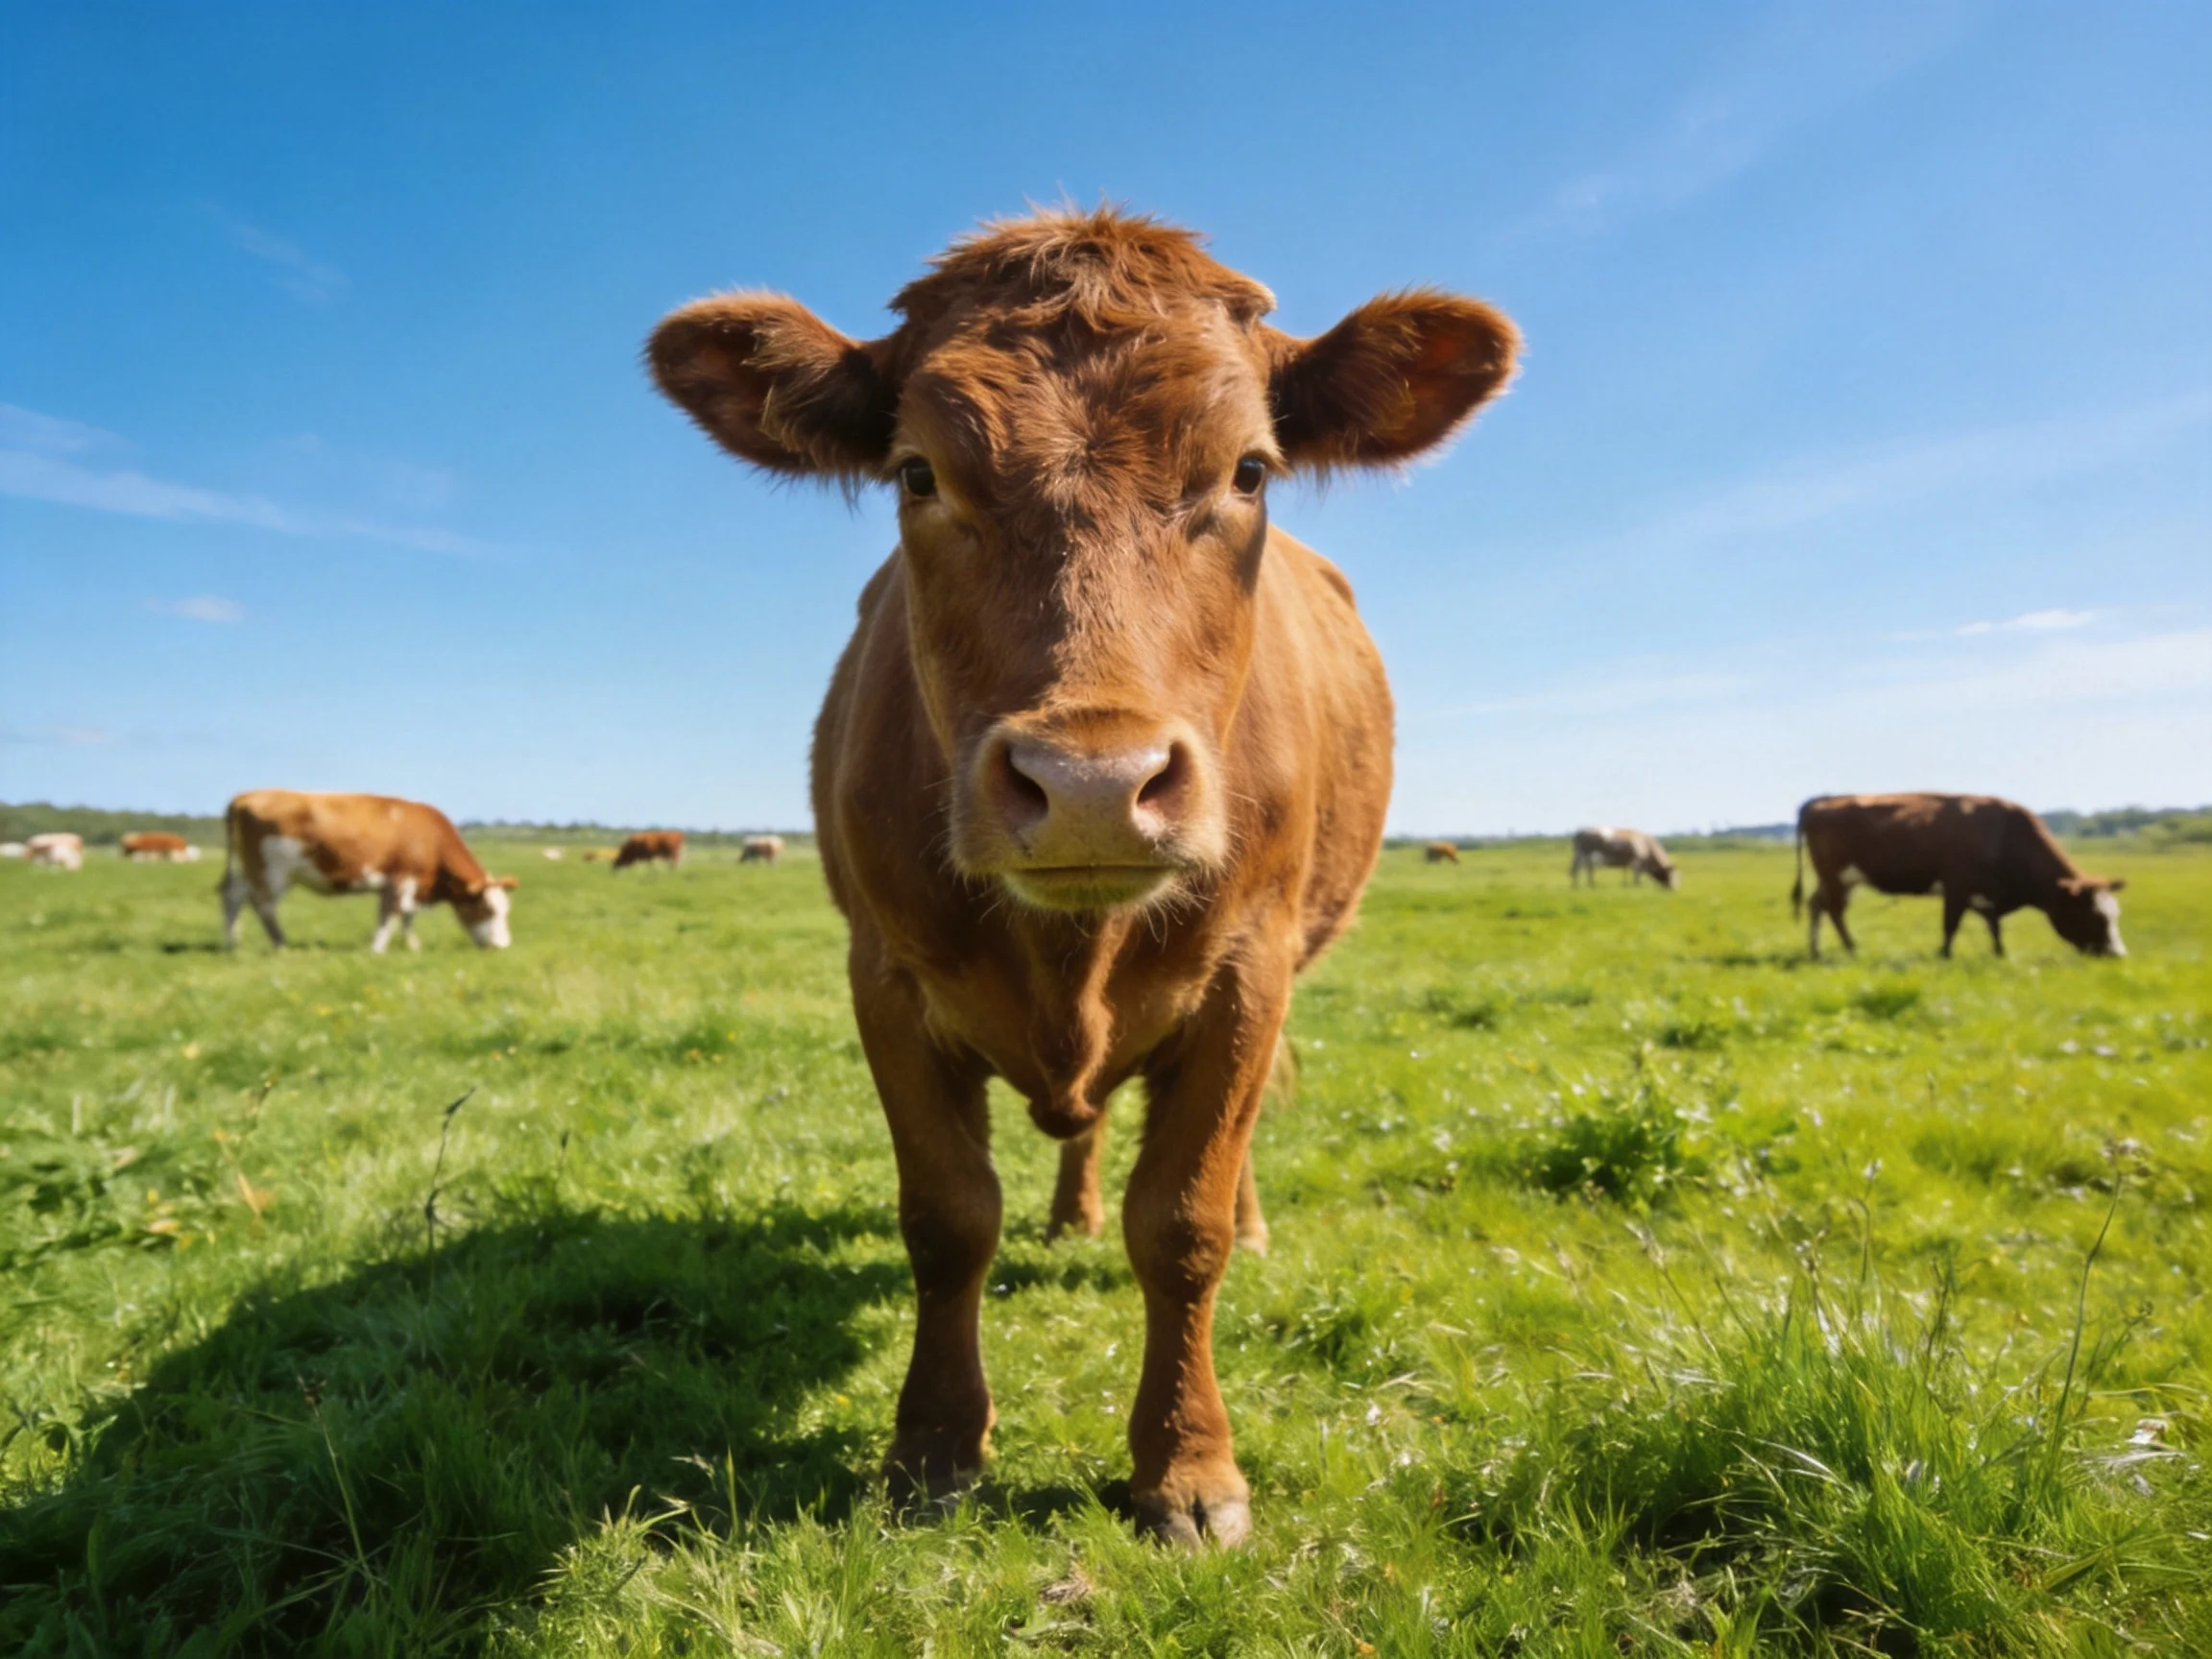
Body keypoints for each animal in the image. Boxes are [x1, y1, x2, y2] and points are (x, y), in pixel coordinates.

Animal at [220, 790, 517, 952]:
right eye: (487, 909)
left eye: (505, 910)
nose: (502, 946)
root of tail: (247, 795)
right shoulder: (401, 880)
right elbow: (391, 914)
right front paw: (377, 949)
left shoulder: (409, 885)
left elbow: (406, 917)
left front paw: (413, 946)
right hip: (272, 871)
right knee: (264, 905)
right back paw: (281, 943)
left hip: (245, 870)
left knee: (232, 896)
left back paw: (233, 943)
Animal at [650, 205, 1518, 1545]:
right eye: (918, 473)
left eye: (1250, 472)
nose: (1094, 783)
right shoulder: (885, 975)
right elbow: (948, 1217)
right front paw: (934, 1448)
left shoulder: (1248, 974)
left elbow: (1185, 1224)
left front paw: (1188, 1469)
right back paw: (1069, 1215)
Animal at [1793, 792, 2125, 960]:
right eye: (2095, 915)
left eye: (2114, 914)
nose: (2118, 954)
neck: (2003, 835)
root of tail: (1821, 800)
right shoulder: (1957, 887)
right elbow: (1950, 925)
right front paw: (1944, 955)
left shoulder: (1986, 895)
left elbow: (1994, 927)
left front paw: (1999, 954)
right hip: (1835, 876)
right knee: (1832, 910)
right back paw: (1849, 949)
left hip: (1840, 879)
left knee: (1817, 905)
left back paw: (1817, 950)